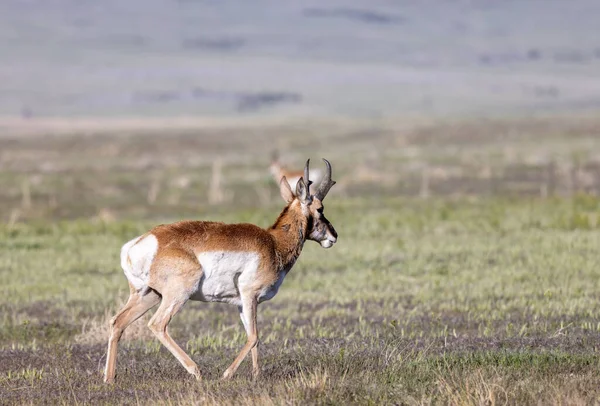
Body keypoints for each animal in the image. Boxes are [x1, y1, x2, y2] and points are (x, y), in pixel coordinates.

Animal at [103, 159, 338, 384]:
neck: (273, 242)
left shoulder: (243, 303)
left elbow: (254, 337)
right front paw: (227, 374)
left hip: (148, 295)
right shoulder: (249, 295)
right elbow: (253, 337)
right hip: (176, 295)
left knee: (118, 322)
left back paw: (109, 378)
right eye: (320, 208)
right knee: (157, 325)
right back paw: (196, 371)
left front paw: (256, 376)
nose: (333, 236)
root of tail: (143, 242)